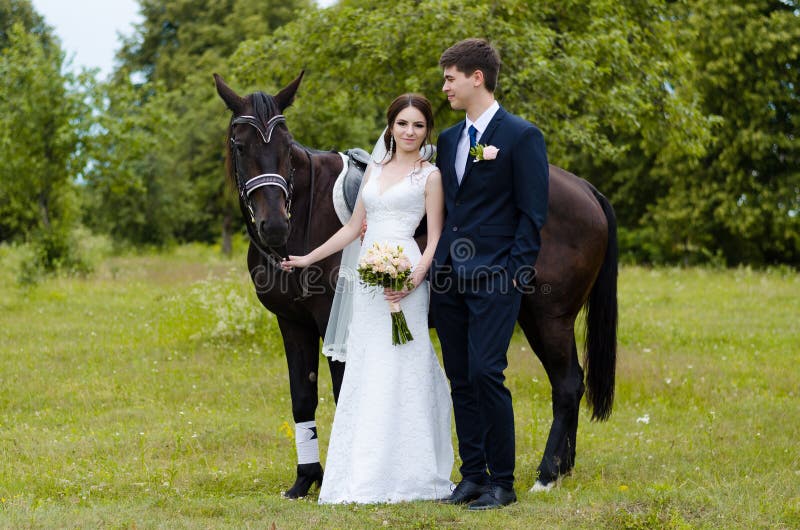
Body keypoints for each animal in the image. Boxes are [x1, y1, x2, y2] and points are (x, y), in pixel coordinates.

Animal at [212, 70, 620, 496]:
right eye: (239, 145)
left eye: (286, 147)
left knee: (568, 384)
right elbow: (302, 398)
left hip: (549, 318)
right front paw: (305, 479)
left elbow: (341, 394)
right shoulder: (292, 324)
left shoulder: (333, 325)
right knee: (568, 383)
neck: (308, 213)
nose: (275, 225)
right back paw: (561, 469)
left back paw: (546, 474)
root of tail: (586, 190)